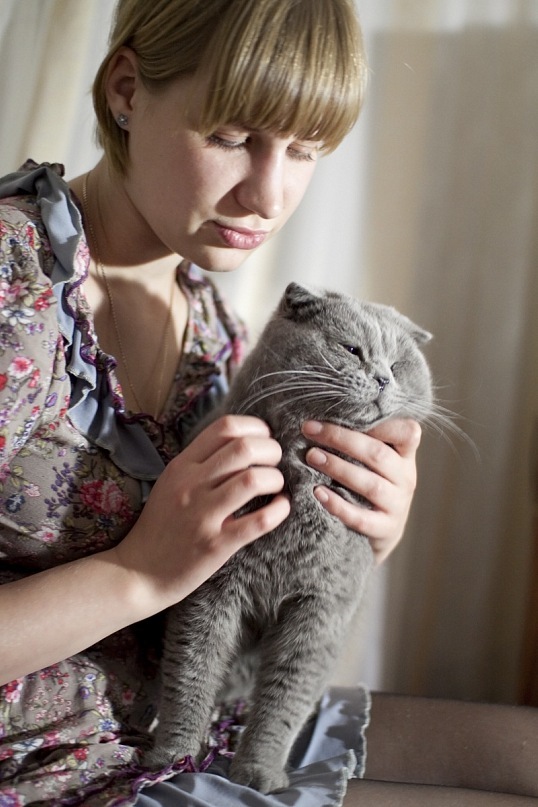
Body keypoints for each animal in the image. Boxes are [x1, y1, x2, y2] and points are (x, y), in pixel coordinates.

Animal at [144, 282, 433, 792]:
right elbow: (190, 670)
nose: (383, 378)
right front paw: (172, 759)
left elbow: (286, 696)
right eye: (352, 349)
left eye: (399, 365)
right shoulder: (209, 589)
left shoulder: (323, 608)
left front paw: (258, 772)